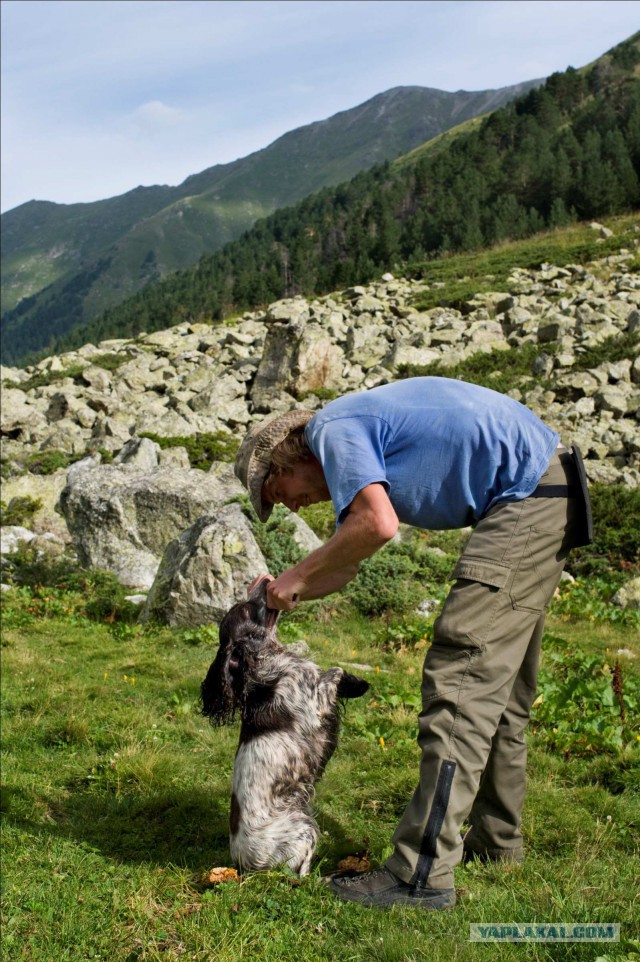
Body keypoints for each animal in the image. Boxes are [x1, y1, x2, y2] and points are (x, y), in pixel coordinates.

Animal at [200, 576, 370, 876]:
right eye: (247, 609)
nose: (264, 581)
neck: (265, 663)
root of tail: (242, 864)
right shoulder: (314, 702)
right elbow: (334, 671)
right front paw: (357, 683)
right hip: (304, 826)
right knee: (299, 873)